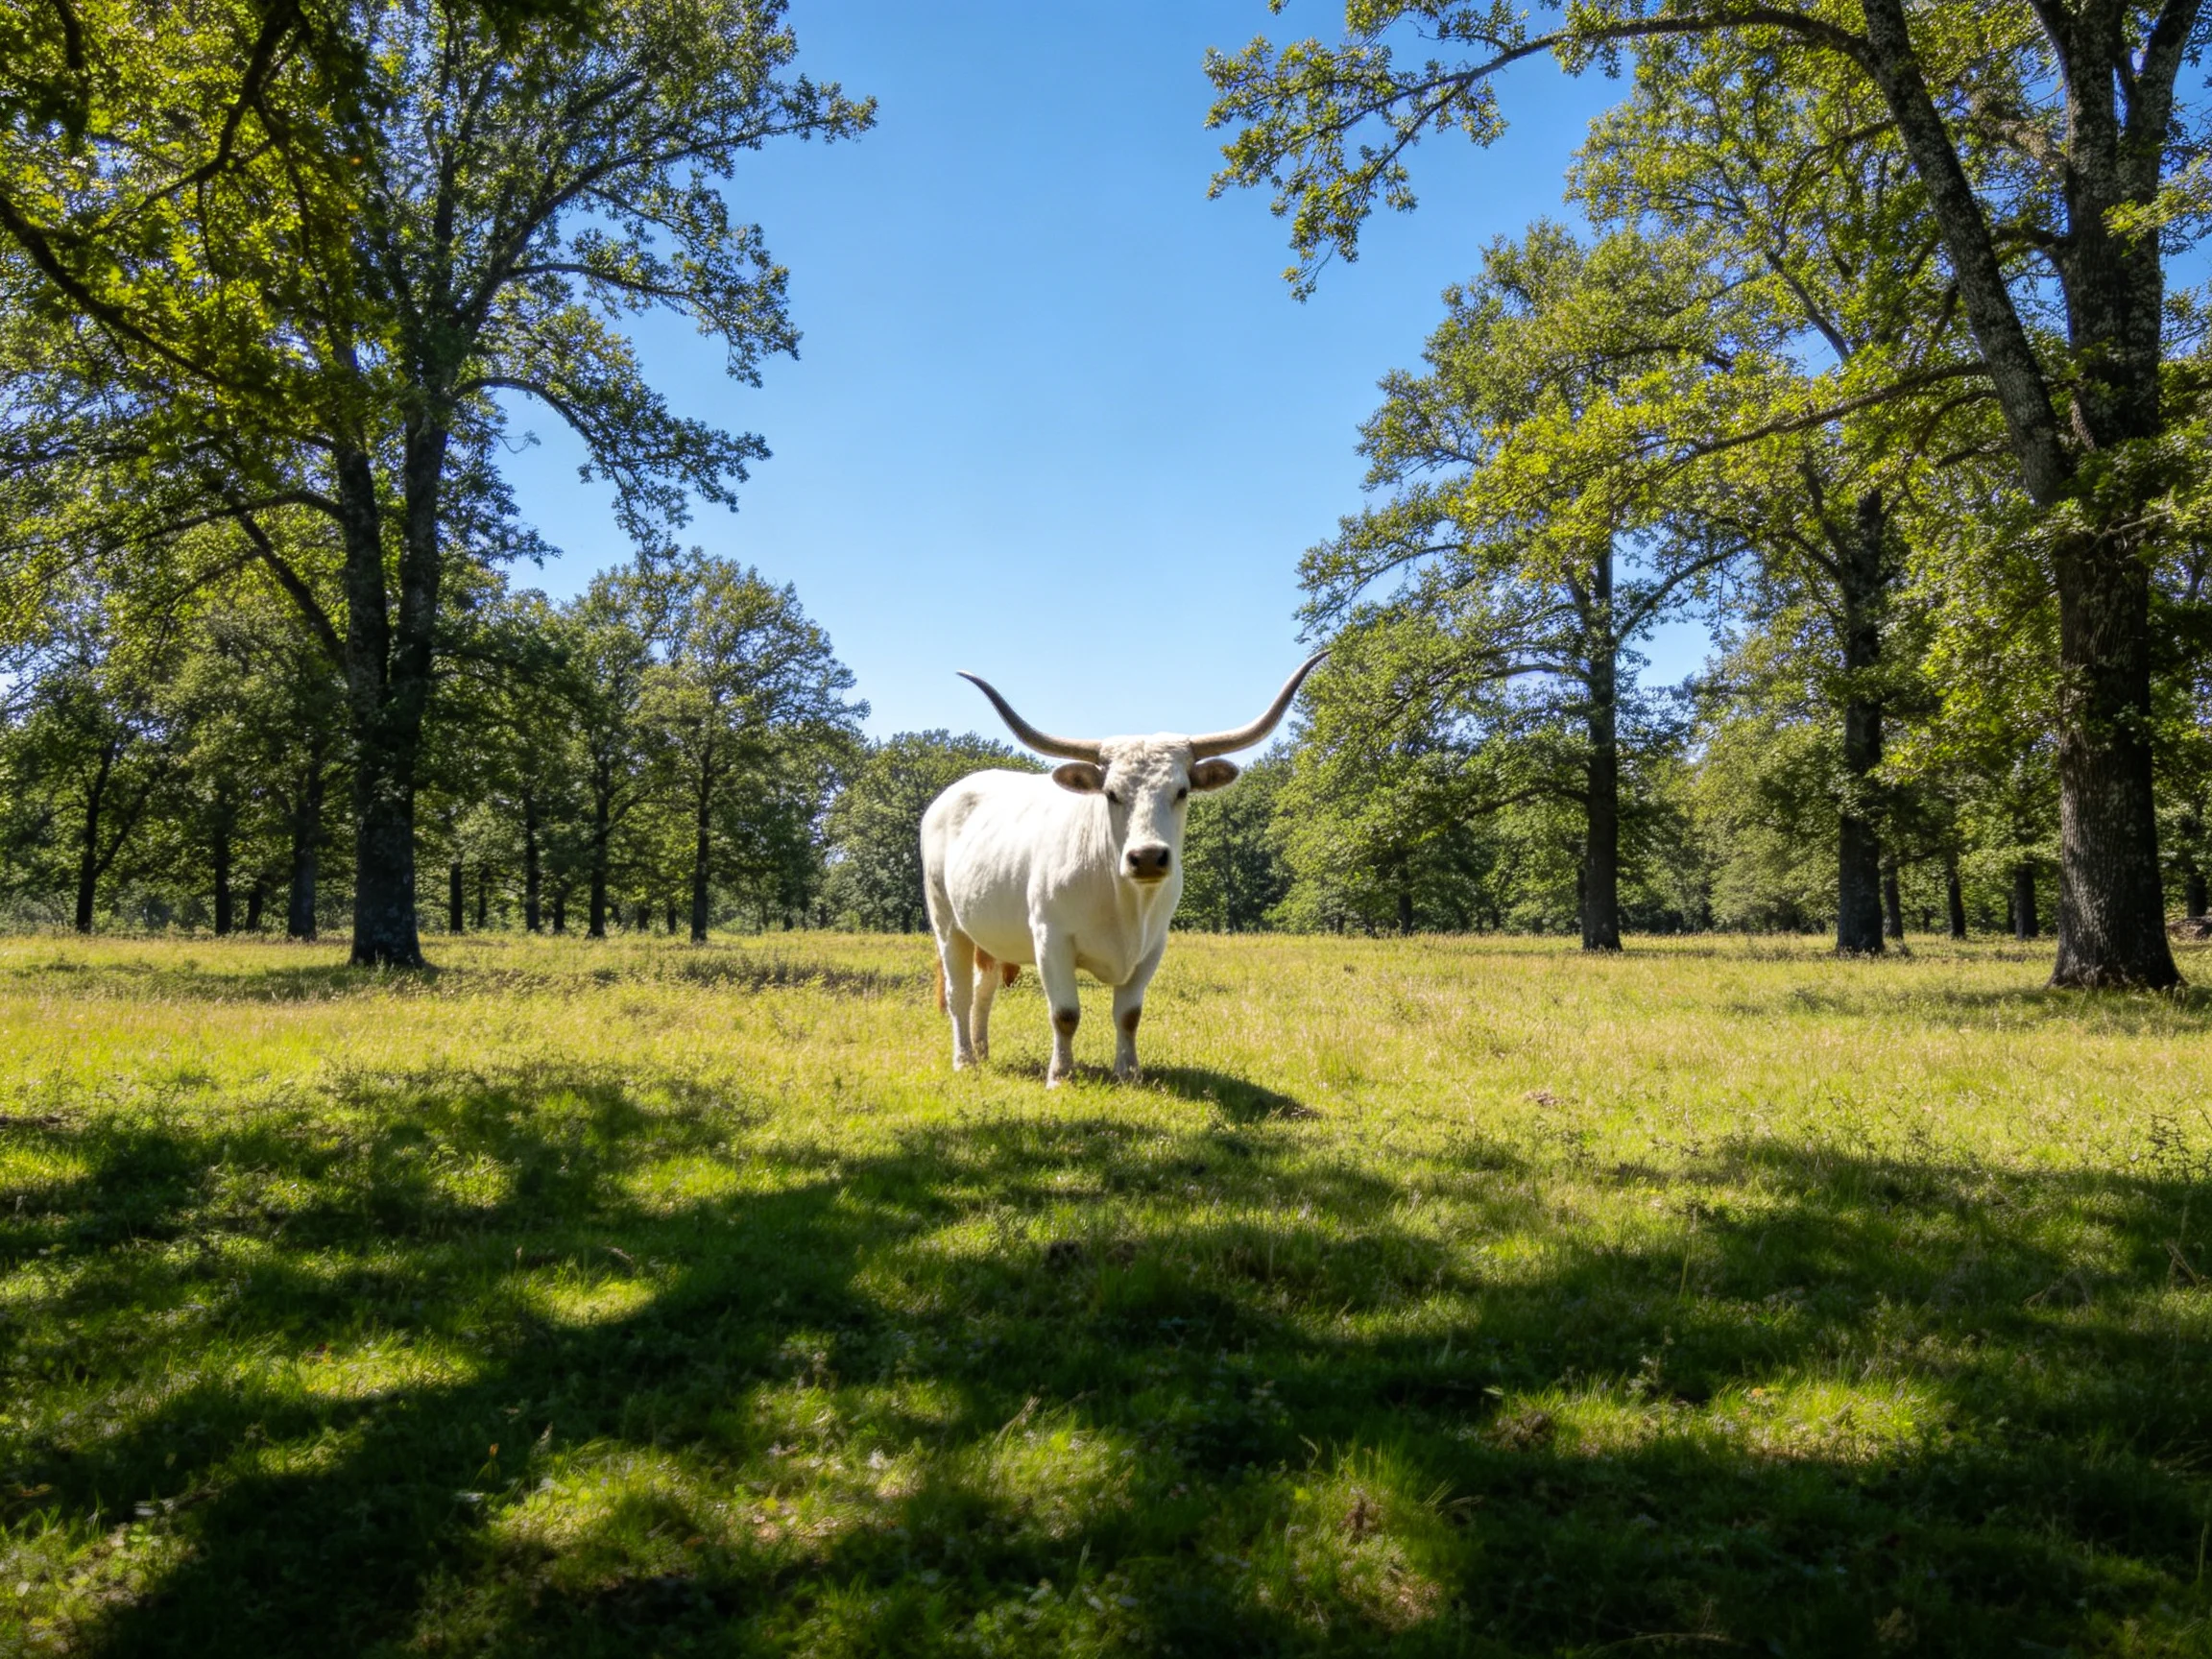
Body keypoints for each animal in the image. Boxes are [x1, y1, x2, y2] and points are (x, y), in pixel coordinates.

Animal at [920, 653, 1326, 1085]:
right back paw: (964, 1058)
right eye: (1111, 793)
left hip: (987, 935)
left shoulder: (1153, 945)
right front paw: (1060, 1076)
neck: (1126, 903)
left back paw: (982, 1051)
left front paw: (1129, 1073)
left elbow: (1129, 1015)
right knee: (960, 993)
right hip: (947, 923)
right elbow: (1065, 1015)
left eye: (1182, 791)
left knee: (985, 989)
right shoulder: (1051, 940)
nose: (1147, 856)